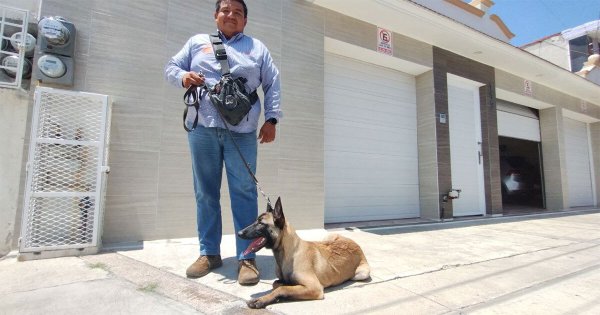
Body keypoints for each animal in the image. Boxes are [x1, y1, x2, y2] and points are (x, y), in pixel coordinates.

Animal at [236, 198, 368, 308]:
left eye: (260, 223)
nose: (239, 233)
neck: (288, 253)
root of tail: (355, 244)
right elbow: (276, 284)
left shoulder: (315, 288)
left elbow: (282, 289)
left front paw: (262, 299)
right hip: (328, 237)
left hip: (361, 274)